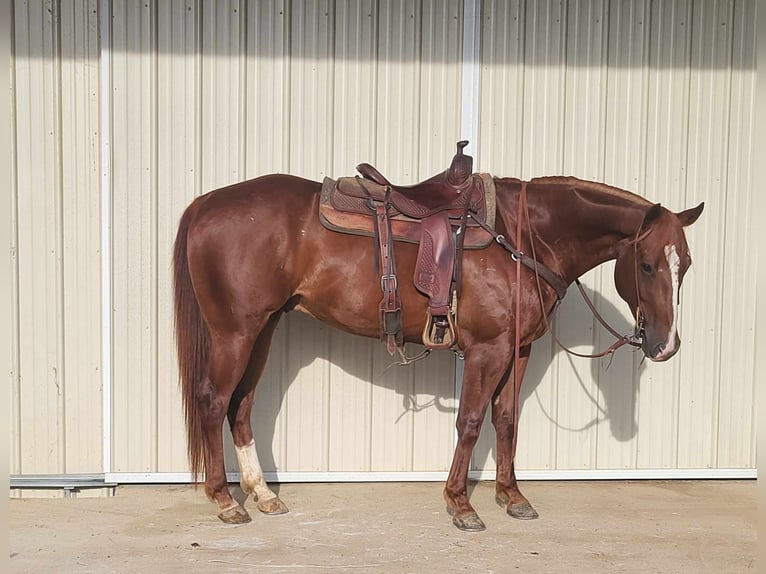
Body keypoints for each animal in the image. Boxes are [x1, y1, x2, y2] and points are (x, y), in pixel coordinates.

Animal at [171, 164, 704, 532]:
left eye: (687, 262)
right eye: (648, 264)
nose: (666, 345)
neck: (525, 235)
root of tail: (204, 204)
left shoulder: (518, 350)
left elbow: (506, 421)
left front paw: (512, 498)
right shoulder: (487, 350)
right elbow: (469, 422)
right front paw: (461, 504)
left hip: (262, 330)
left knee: (241, 407)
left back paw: (262, 494)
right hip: (235, 332)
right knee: (213, 401)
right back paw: (224, 500)